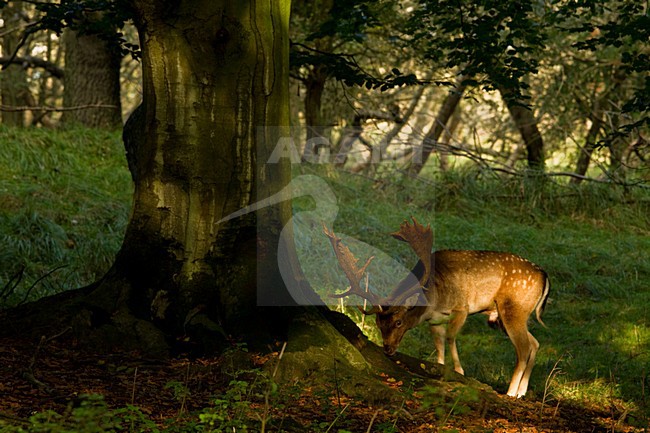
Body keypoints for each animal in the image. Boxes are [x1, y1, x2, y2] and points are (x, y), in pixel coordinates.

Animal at [323, 217, 550, 398]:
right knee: (535, 343)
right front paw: (441, 370)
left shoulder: (461, 307)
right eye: (379, 324)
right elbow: (439, 346)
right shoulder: (435, 320)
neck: (432, 299)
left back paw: (511, 392)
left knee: (524, 348)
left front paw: (459, 371)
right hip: (511, 315)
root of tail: (544, 275)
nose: (387, 349)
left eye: (399, 321)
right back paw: (522, 391)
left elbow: (450, 337)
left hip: (513, 308)